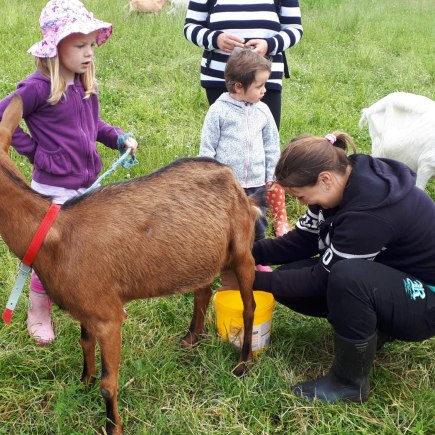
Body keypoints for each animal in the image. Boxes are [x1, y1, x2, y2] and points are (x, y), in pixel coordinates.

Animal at [0, 96, 258, 435]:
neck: (54, 236)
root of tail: (229, 175)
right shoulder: (87, 308)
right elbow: (85, 343)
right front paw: (83, 382)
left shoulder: (109, 316)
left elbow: (108, 384)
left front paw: (113, 426)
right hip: (204, 253)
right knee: (202, 290)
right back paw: (191, 339)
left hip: (242, 249)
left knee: (249, 305)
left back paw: (243, 364)